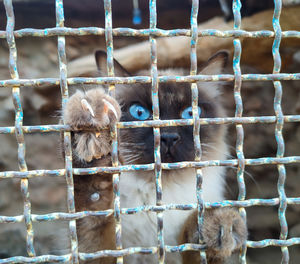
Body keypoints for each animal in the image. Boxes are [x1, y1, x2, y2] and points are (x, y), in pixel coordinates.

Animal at [62, 50, 246, 262]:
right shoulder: (101, 251)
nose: (168, 137)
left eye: (190, 113)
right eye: (140, 112)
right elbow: (92, 206)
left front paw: (217, 225)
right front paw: (94, 152)